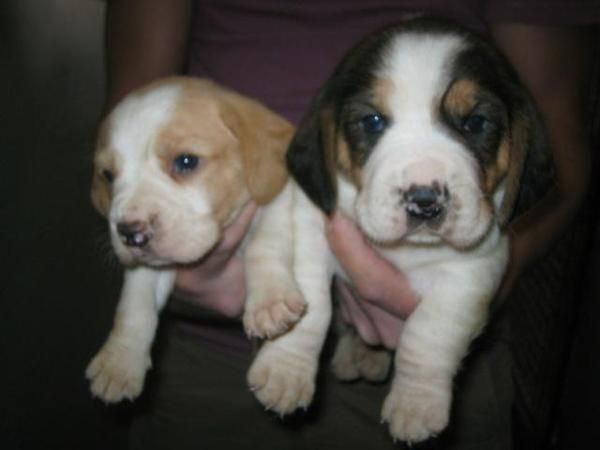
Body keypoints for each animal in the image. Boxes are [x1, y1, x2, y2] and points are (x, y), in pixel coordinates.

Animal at [87, 76, 296, 400]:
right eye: (108, 176)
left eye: (186, 161)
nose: (131, 234)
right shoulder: (151, 267)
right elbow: (135, 303)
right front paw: (119, 361)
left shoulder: (278, 202)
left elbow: (265, 245)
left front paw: (270, 304)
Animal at [244, 16, 552, 442]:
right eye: (372, 121)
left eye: (475, 123)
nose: (424, 200)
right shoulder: (313, 231)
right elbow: (314, 303)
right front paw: (286, 369)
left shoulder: (473, 269)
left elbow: (431, 330)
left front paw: (416, 403)